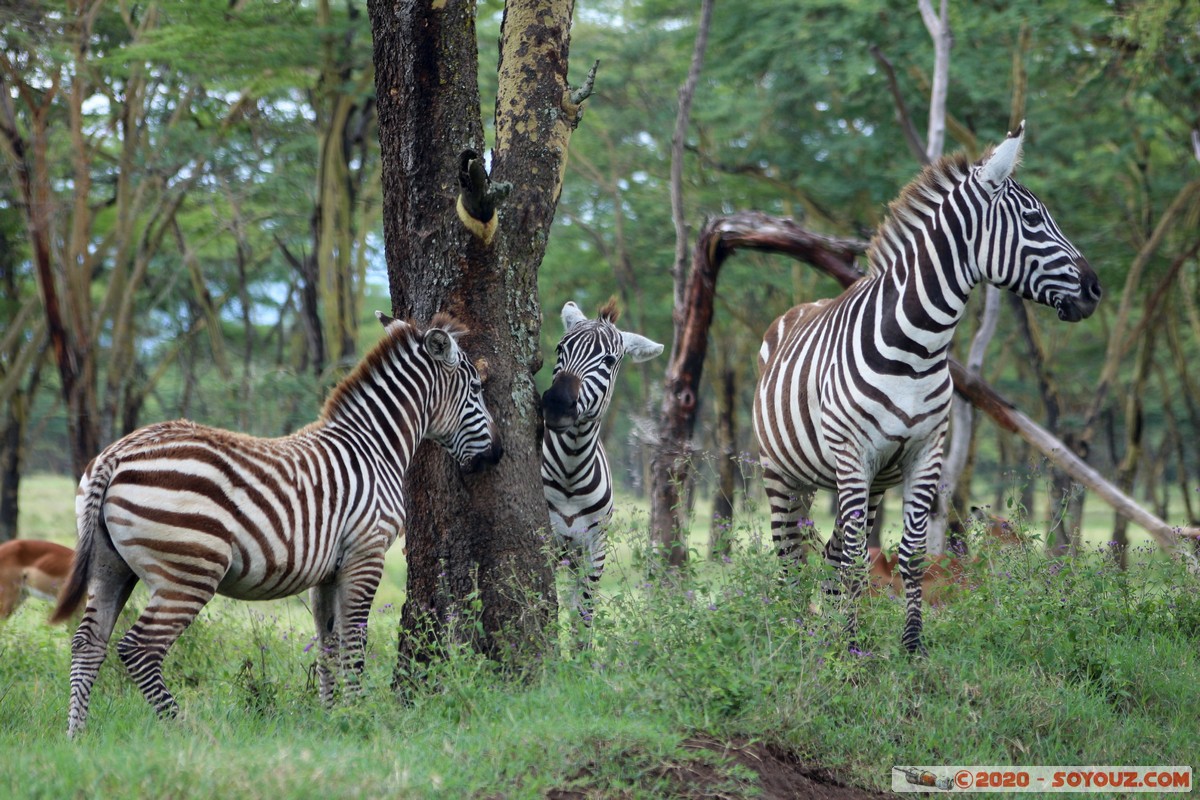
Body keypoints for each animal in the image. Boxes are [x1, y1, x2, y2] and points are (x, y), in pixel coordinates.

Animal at [50, 309, 501, 734]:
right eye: (477, 390)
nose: (497, 454)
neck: (374, 447)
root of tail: (115, 455)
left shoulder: (328, 571)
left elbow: (328, 643)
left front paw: (332, 716)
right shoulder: (366, 552)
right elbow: (355, 643)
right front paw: (361, 713)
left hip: (110, 565)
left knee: (87, 643)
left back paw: (77, 736)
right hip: (189, 571)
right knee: (138, 649)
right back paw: (186, 730)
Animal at [544, 298, 667, 623]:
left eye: (609, 361)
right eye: (559, 348)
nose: (557, 405)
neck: (570, 469)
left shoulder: (595, 546)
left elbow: (583, 615)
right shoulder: (550, 540)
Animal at [753, 120, 1099, 657]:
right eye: (1033, 220)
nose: (1095, 289)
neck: (916, 347)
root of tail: (798, 307)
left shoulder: (925, 452)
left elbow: (908, 553)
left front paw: (907, 644)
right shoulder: (853, 453)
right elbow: (856, 556)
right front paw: (852, 649)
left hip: (868, 482)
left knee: (833, 552)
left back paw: (828, 631)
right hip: (783, 471)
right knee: (790, 555)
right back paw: (794, 635)